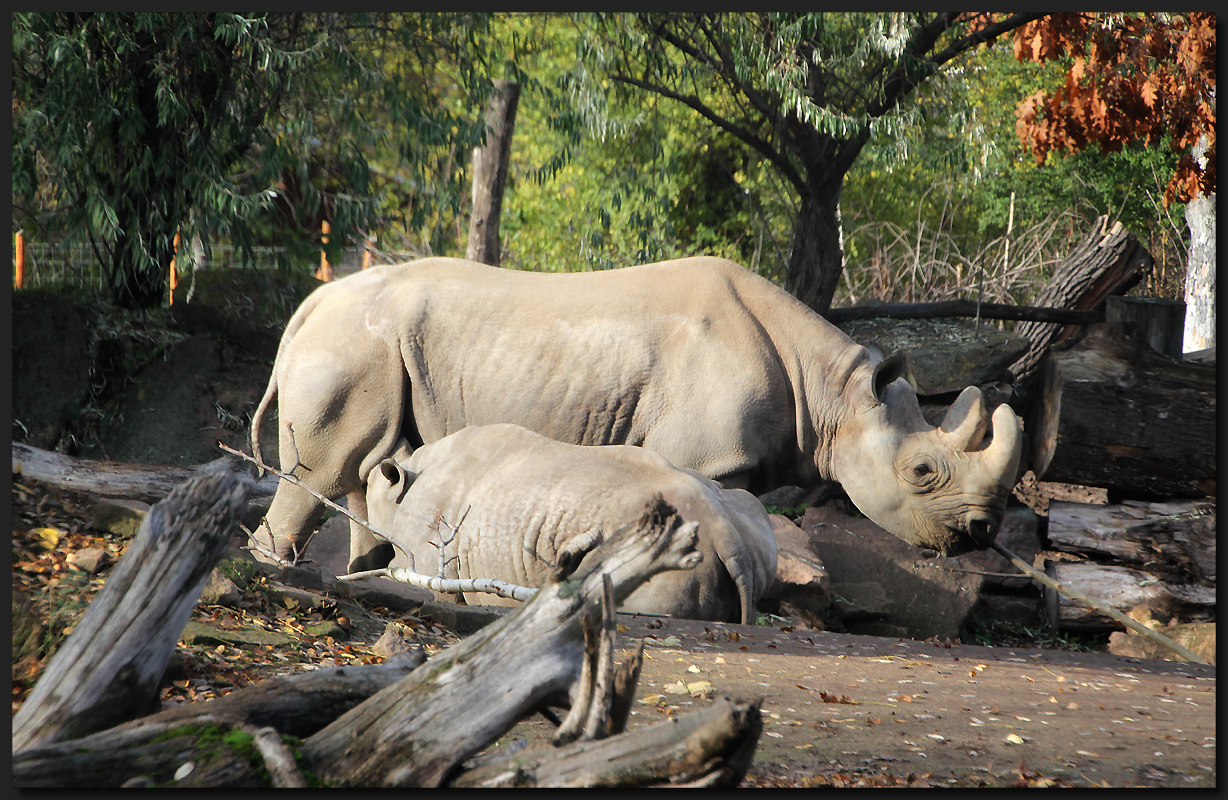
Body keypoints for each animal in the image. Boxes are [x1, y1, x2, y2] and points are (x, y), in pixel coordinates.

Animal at [251, 256, 1026, 570]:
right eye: (922, 471)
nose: (981, 534)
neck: (835, 393)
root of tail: (310, 305)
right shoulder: (710, 458)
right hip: (356, 345)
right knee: (323, 472)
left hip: (374, 347)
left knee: (369, 469)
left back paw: (364, 571)